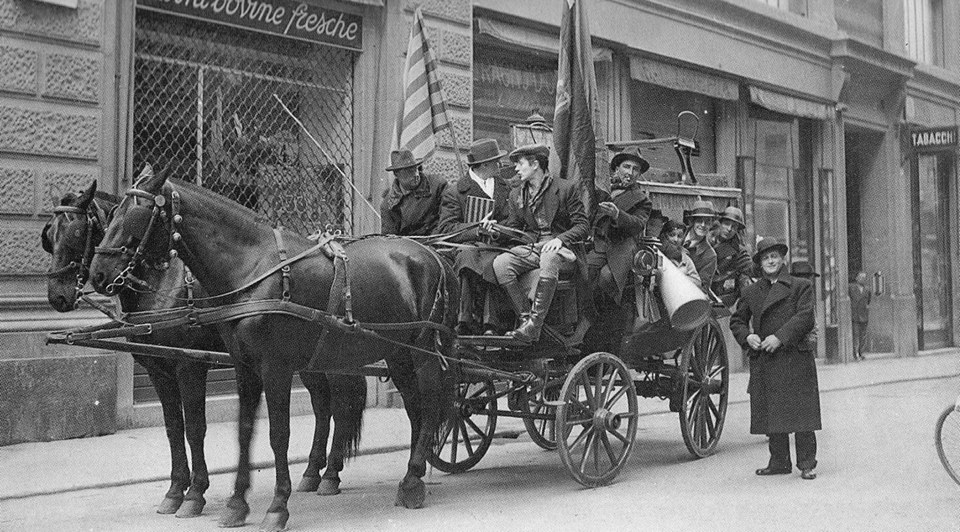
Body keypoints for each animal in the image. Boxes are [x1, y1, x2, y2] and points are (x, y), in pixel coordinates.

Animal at [42, 179, 364, 520]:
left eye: (77, 232)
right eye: (49, 237)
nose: (57, 296)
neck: (162, 283)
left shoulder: (189, 366)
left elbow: (195, 428)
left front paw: (195, 493)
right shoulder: (159, 369)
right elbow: (174, 428)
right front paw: (175, 490)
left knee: (340, 405)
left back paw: (330, 474)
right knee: (323, 406)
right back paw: (313, 472)